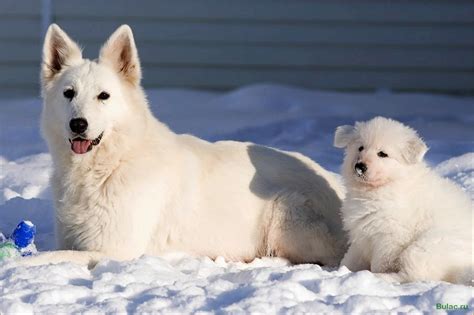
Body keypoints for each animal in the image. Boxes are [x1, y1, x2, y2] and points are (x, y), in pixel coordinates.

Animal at [336, 117, 472, 286]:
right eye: (360, 148)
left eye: (382, 154)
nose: (360, 166)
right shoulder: (361, 233)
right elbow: (353, 256)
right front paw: (340, 270)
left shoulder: (391, 236)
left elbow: (381, 262)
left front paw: (372, 274)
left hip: (425, 247)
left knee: (414, 275)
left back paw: (382, 278)